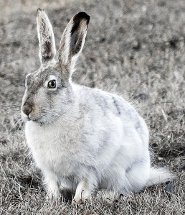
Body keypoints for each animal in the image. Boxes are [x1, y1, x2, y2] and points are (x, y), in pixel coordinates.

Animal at [21, 8, 174, 203]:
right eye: (28, 79)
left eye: (52, 84)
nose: (26, 110)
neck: (59, 114)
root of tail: (145, 174)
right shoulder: (49, 171)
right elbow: (53, 183)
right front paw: (53, 198)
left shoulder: (89, 167)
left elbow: (86, 182)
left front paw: (79, 200)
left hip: (120, 171)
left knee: (123, 189)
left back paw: (104, 195)